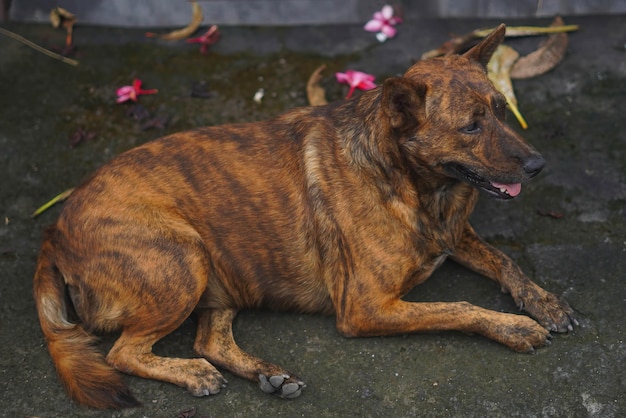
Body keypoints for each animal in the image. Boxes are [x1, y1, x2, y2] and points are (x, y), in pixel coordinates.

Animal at [31, 25, 572, 408]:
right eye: (470, 127)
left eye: (502, 110)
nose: (539, 165)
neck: (409, 183)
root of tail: (54, 231)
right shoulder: (365, 308)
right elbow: (458, 307)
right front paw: (515, 327)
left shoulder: (454, 235)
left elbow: (504, 261)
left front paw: (543, 302)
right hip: (183, 258)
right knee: (123, 353)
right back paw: (190, 373)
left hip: (222, 268)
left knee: (209, 339)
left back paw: (265, 373)